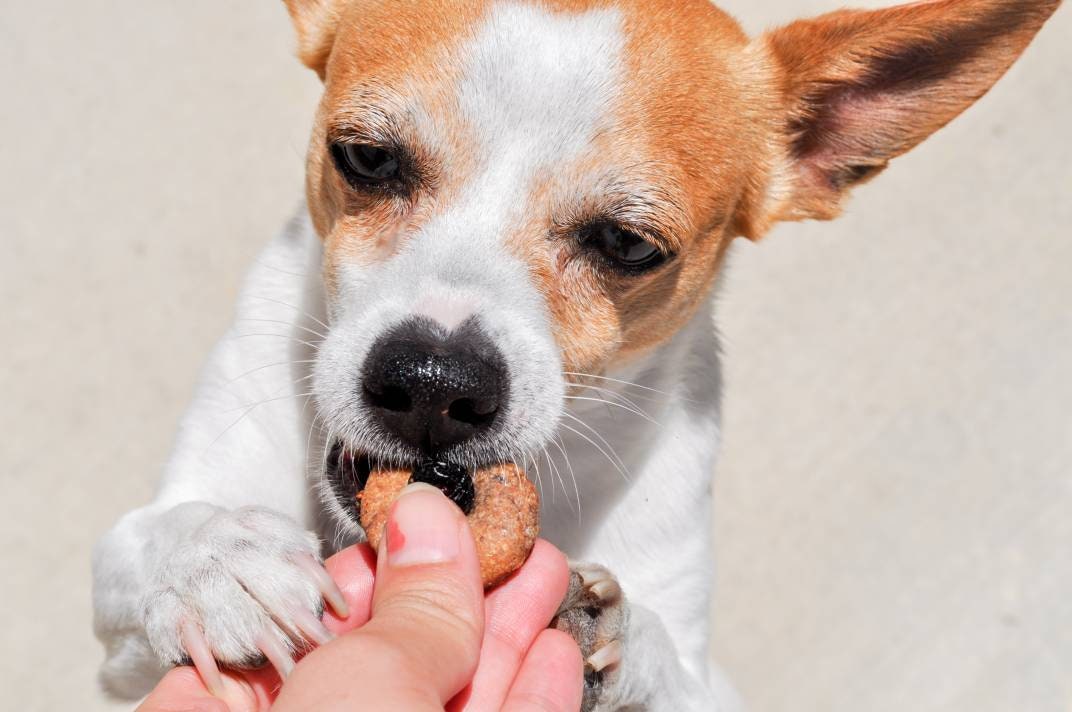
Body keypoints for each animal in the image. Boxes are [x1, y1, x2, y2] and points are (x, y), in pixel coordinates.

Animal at [94, 0, 1063, 707]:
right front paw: (215, 558)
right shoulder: (119, 657)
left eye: (628, 245)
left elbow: (681, 678)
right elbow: (147, 542)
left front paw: (631, 645)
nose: (434, 384)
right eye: (365, 158)